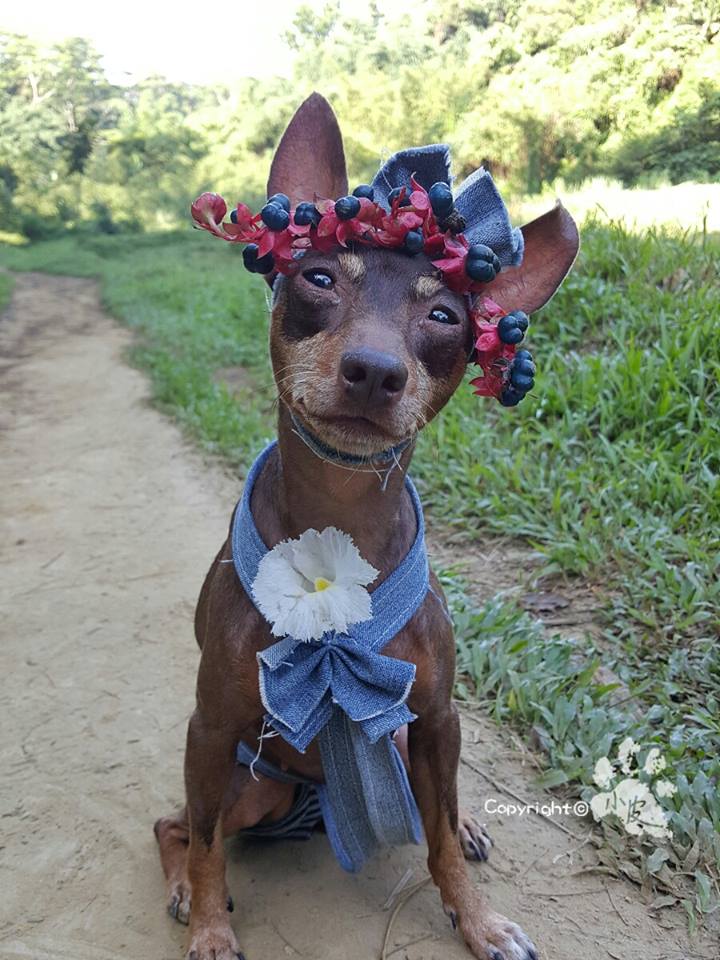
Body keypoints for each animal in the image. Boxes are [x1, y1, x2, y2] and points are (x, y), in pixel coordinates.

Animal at [153, 92, 580, 960]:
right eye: (318, 276)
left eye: (445, 315)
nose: (375, 371)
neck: (338, 516)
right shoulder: (209, 728)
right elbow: (208, 845)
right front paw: (211, 926)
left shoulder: (439, 719)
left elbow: (440, 837)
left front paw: (477, 919)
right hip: (250, 784)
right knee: (176, 826)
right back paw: (183, 891)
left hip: (402, 739)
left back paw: (473, 826)